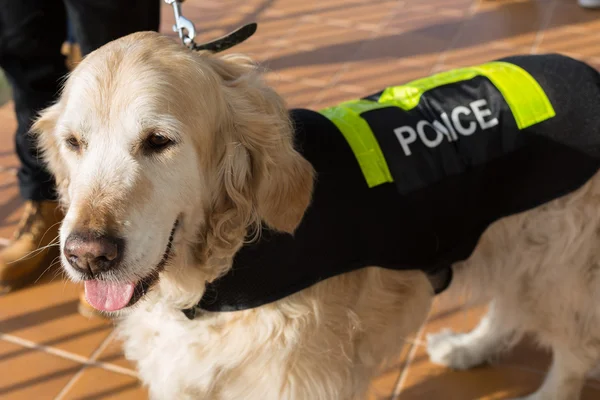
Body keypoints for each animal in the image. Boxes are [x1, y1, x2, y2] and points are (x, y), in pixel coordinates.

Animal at [34, 32, 600, 400]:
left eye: (158, 141)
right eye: (74, 143)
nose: (87, 256)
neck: (226, 260)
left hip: (557, 267)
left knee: (574, 350)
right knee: (508, 310)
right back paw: (468, 347)